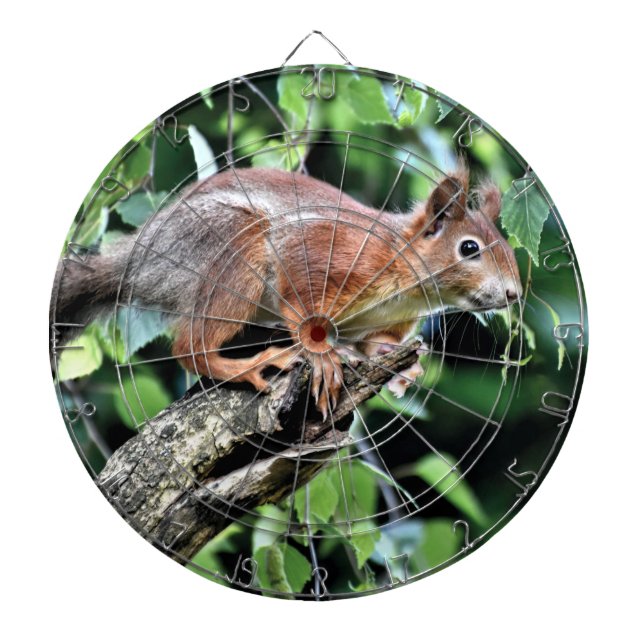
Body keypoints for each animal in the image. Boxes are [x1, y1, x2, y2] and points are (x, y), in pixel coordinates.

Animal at [52, 164, 521, 418]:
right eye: (469, 248)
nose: (515, 294)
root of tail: (137, 264)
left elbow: (375, 345)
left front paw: (400, 366)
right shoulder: (326, 253)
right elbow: (300, 297)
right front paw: (324, 357)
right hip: (233, 249)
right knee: (190, 346)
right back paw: (249, 365)